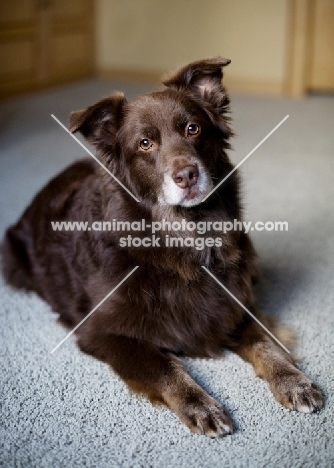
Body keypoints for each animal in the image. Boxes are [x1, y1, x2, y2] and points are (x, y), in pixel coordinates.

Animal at [1, 57, 322, 436]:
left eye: (193, 129)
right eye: (144, 143)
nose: (186, 175)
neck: (185, 239)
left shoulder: (236, 304)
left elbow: (266, 344)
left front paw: (293, 380)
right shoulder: (102, 332)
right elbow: (163, 366)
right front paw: (200, 404)